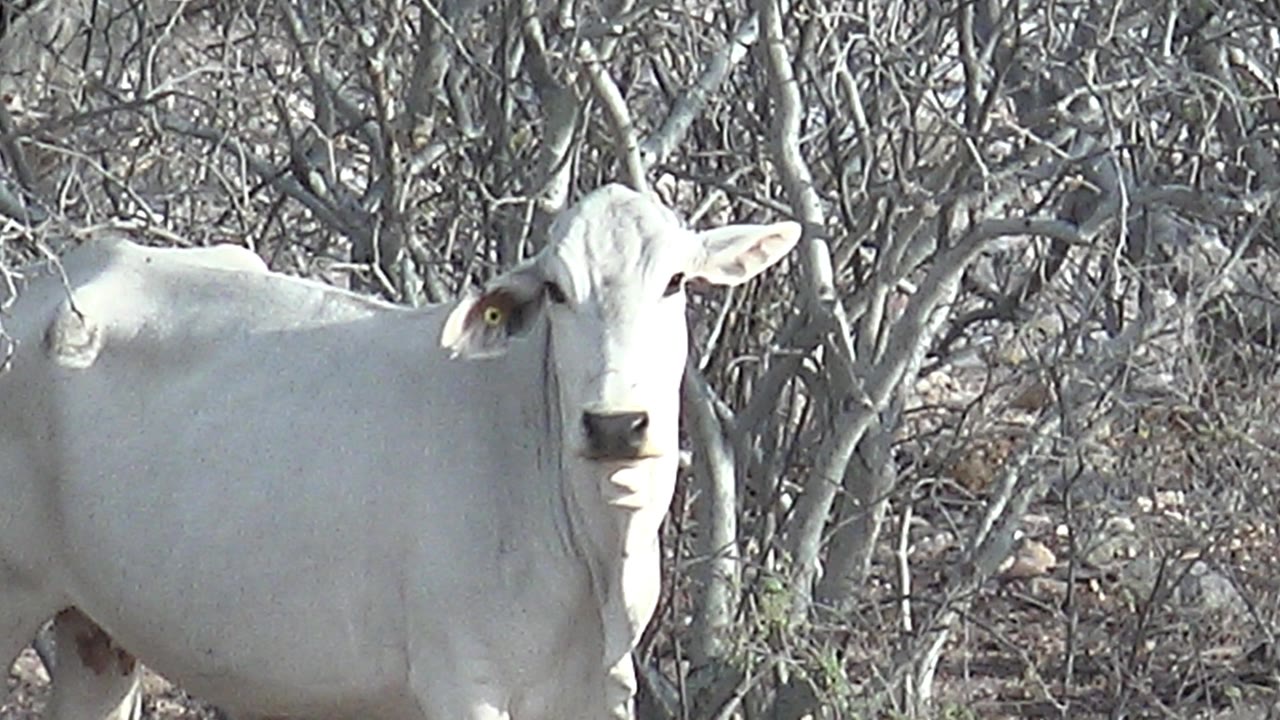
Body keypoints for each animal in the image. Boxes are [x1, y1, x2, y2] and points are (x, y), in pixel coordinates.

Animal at [0, 184, 800, 720]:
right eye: (556, 290)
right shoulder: (463, 683)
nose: (614, 424)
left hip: (97, 633)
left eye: (676, 281)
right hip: (13, 594)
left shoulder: (598, 691)